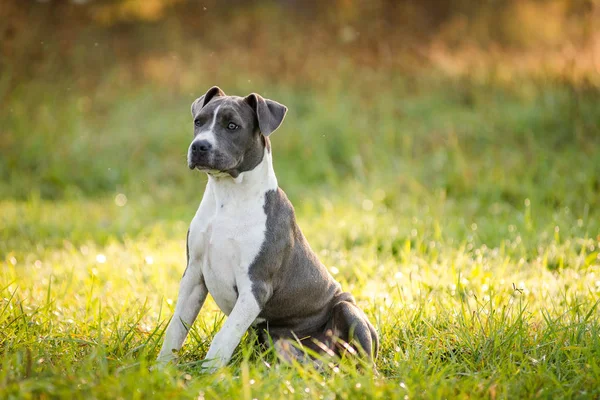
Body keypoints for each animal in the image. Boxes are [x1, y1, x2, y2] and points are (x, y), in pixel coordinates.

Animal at [157, 86, 378, 370]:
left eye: (232, 126)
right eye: (198, 122)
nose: (199, 146)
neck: (227, 197)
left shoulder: (255, 286)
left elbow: (223, 337)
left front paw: (208, 374)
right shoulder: (194, 275)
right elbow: (176, 327)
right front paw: (159, 369)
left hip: (347, 309)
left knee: (363, 359)